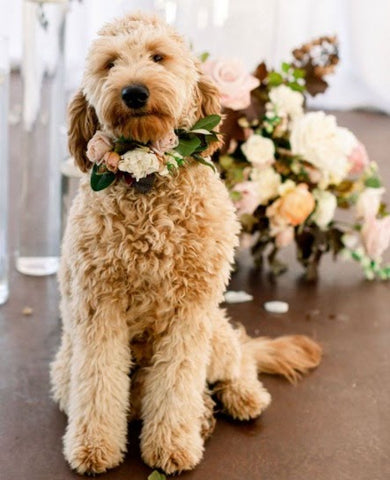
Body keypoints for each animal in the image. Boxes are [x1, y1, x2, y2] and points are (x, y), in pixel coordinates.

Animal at [50, 12, 322, 476]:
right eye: (110, 64)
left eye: (158, 57)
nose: (134, 91)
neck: (146, 180)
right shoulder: (97, 309)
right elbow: (99, 381)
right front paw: (94, 447)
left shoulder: (189, 313)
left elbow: (177, 383)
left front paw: (172, 445)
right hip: (65, 365)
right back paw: (203, 417)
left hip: (216, 331)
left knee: (239, 359)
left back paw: (241, 397)